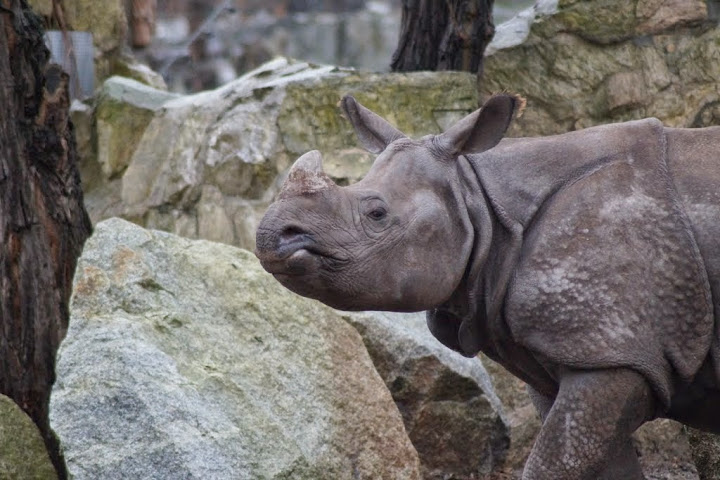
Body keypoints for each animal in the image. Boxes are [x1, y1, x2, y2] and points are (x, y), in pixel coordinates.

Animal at [254, 93, 720, 479]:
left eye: (376, 214)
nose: (274, 236)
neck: (478, 199)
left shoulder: (614, 350)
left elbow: (554, 465)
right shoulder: (583, 356)